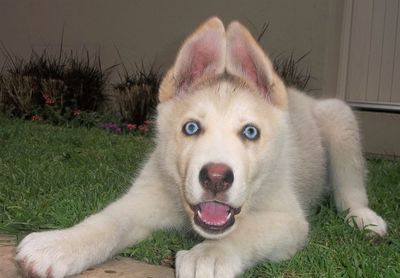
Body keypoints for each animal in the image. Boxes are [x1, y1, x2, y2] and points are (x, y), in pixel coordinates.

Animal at [16, 17, 388, 278]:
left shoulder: (288, 219)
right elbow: (106, 221)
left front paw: (209, 256)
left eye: (250, 132)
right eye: (191, 128)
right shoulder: (144, 198)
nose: (216, 178)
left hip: (340, 119)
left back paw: (366, 220)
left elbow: (244, 232)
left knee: (350, 191)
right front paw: (60, 244)